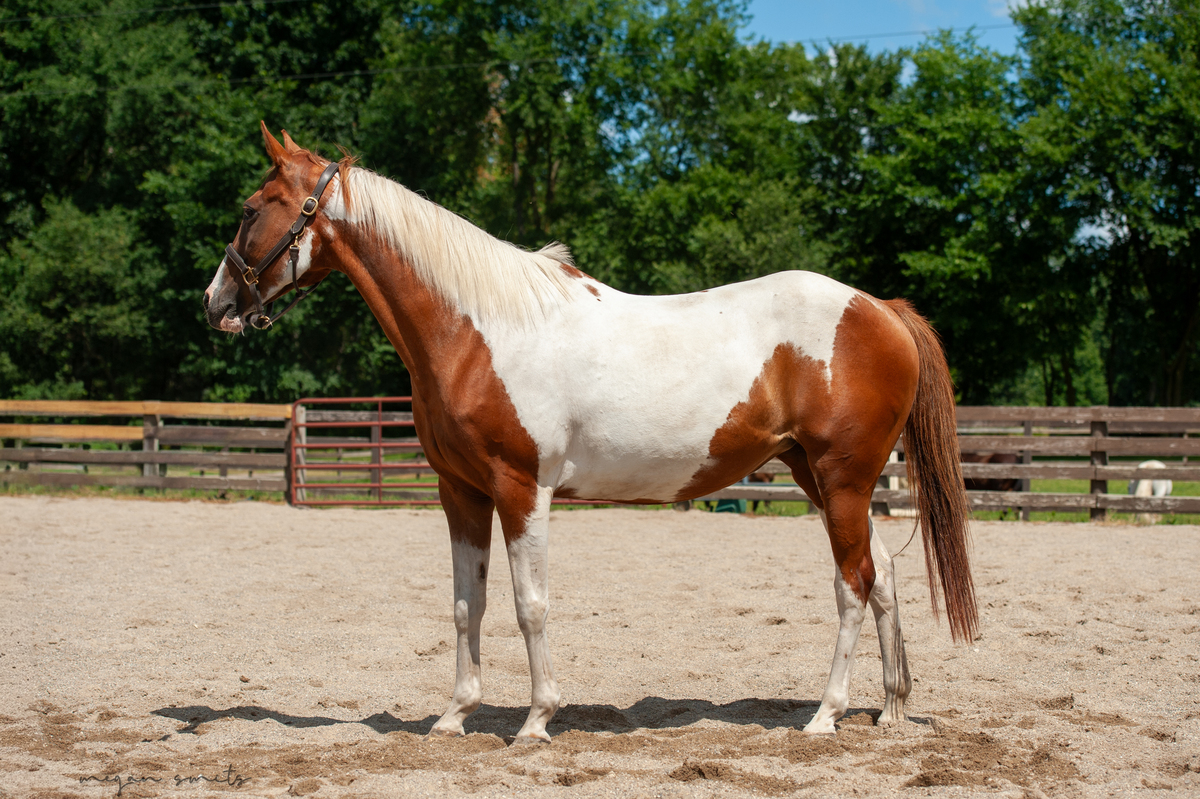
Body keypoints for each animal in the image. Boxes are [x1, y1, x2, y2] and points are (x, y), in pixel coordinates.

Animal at [203, 125, 976, 743]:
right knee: (883, 578)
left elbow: (530, 605)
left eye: (250, 210)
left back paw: (824, 714)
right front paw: (454, 716)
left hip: (842, 478)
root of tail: (880, 308)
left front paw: (537, 719)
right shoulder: (461, 492)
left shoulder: (522, 490)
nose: (214, 302)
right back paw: (890, 708)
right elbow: (466, 604)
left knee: (853, 583)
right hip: (823, 479)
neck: (477, 329)